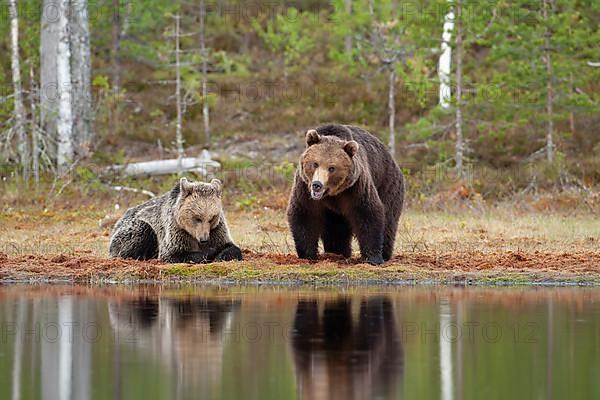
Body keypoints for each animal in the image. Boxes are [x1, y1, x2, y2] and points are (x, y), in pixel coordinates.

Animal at [284, 123, 404, 264]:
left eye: (332, 168)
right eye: (315, 164)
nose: (317, 185)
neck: (332, 194)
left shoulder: (356, 187)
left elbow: (368, 213)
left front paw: (373, 258)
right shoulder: (304, 188)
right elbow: (305, 215)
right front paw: (307, 255)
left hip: (388, 185)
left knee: (389, 220)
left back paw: (384, 253)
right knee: (336, 229)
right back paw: (337, 252)